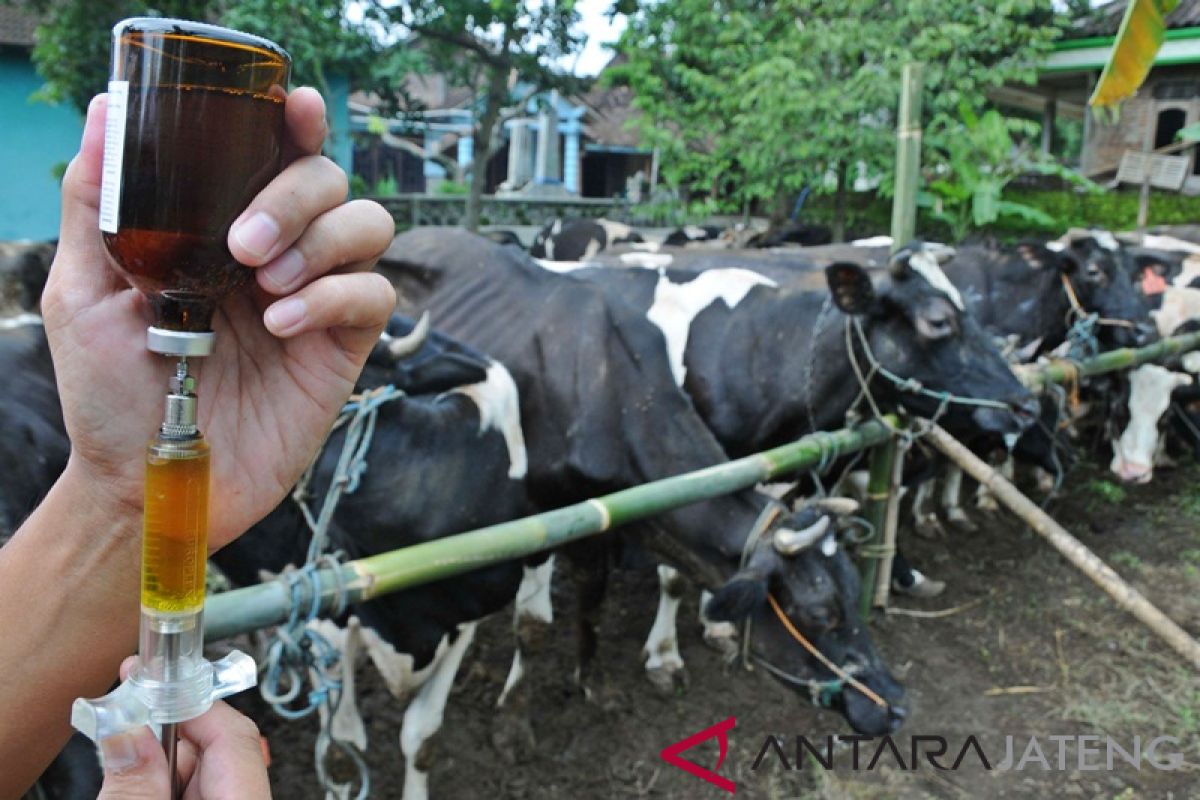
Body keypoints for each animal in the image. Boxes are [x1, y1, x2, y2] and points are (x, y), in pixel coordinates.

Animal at [384, 226, 907, 738]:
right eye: (820, 613)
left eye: (852, 591)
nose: (894, 705)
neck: (610, 392)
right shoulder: (535, 521)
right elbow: (533, 624)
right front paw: (514, 721)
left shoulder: (602, 521)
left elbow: (593, 599)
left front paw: (591, 682)